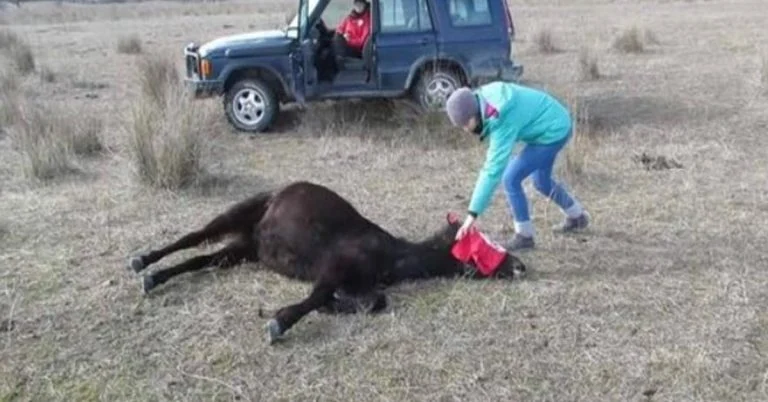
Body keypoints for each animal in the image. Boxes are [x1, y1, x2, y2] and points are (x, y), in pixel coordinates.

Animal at [127, 180, 526, 344]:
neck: (389, 254)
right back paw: (142, 262)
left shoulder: (358, 283)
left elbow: (373, 301)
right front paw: (279, 322)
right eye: (479, 242)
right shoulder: (334, 267)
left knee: (204, 258)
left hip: (247, 247)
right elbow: (318, 297)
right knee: (193, 238)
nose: (520, 266)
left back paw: (155, 278)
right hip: (238, 215)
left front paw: (336, 307)